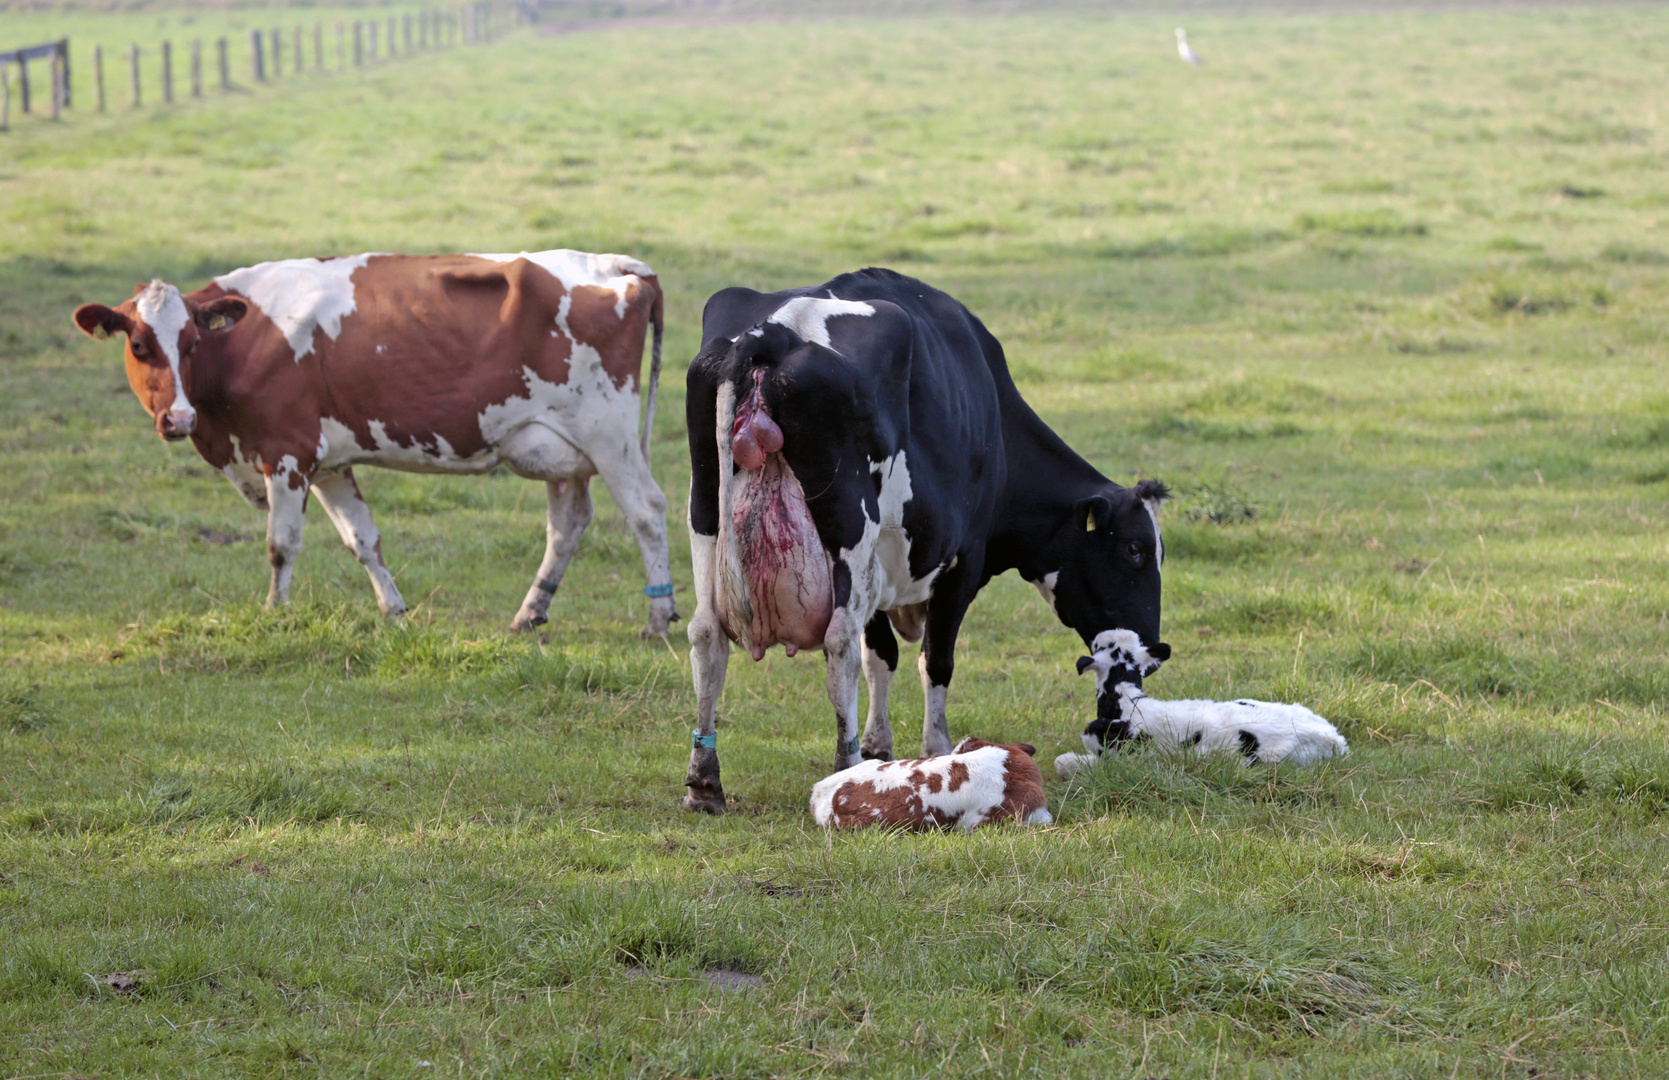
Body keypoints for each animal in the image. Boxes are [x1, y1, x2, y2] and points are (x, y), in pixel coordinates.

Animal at [76, 248, 677, 634]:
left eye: (193, 342)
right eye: (138, 344)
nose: (177, 417)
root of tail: (615, 265)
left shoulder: (286, 454)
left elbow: (281, 544)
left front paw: (275, 614)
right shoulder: (328, 466)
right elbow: (363, 539)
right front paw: (394, 612)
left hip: (610, 436)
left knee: (646, 509)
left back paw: (658, 616)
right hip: (560, 449)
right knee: (568, 523)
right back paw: (529, 613)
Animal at [680, 268, 1174, 811]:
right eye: (1135, 550)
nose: (1154, 651)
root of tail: (772, 331)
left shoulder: (880, 571)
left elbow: (882, 658)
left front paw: (879, 748)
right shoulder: (963, 563)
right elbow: (935, 661)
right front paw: (933, 748)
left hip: (706, 510)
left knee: (707, 635)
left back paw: (705, 782)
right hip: (850, 526)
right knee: (838, 642)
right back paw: (843, 765)